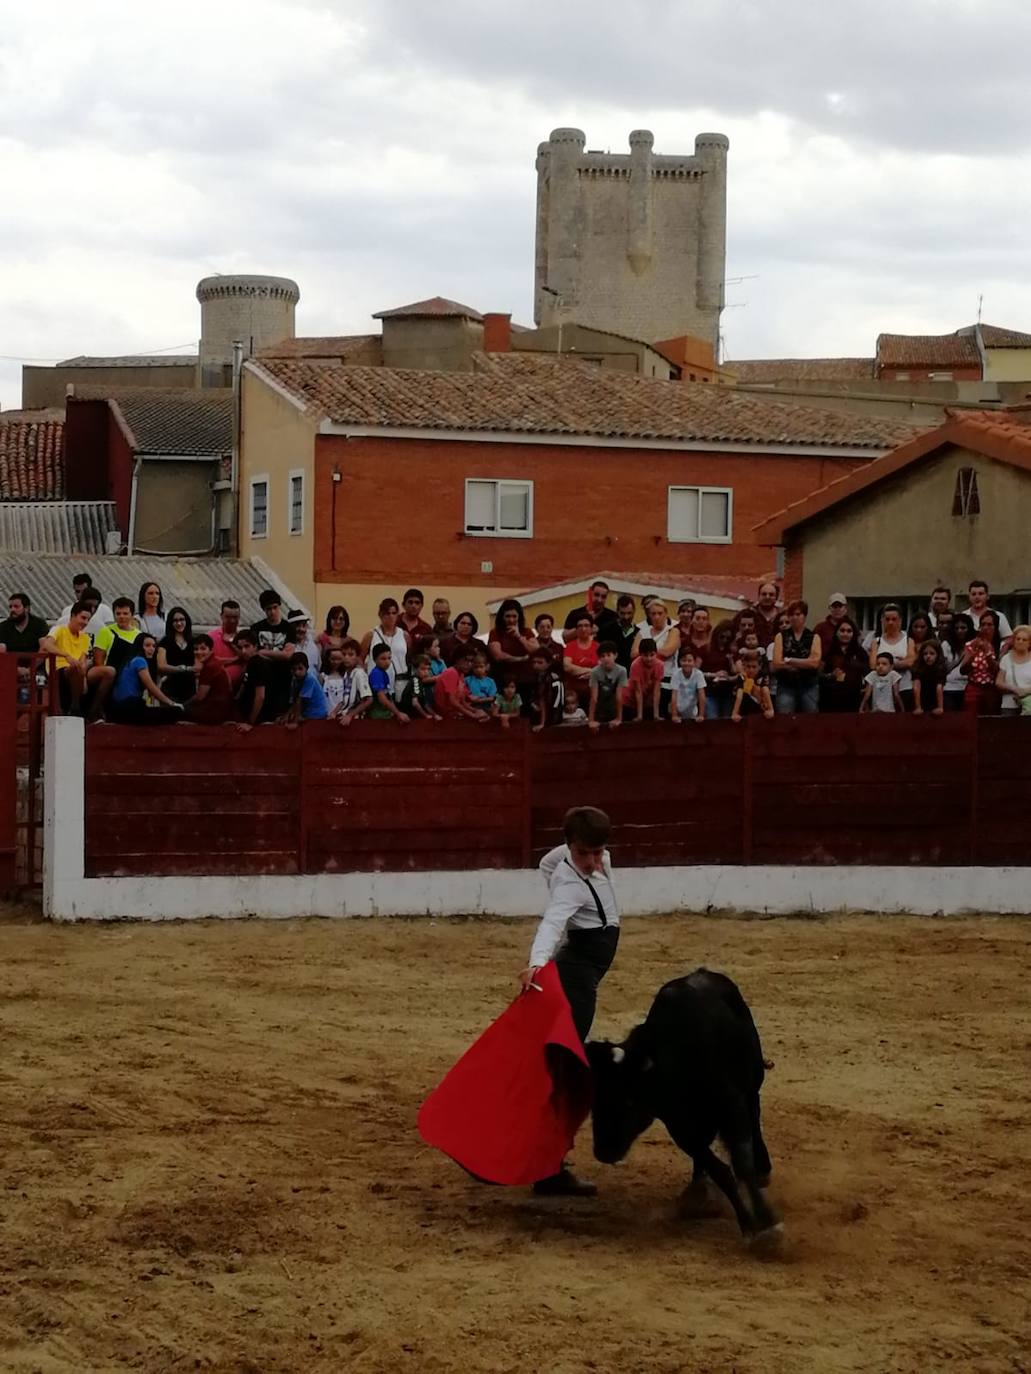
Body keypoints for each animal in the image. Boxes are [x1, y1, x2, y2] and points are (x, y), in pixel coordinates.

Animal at [585, 967, 780, 1247]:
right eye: (595, 1100)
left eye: (628, 1101)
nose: (603, 1151)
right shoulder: (680, 1128)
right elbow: (719, 1171)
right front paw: (748, 1224)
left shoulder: (732, 1106)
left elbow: (742, 1164)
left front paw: (766, 1224)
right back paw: (697, 1192)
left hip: (753, 1082)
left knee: (755, 1116)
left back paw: (762, 1166)